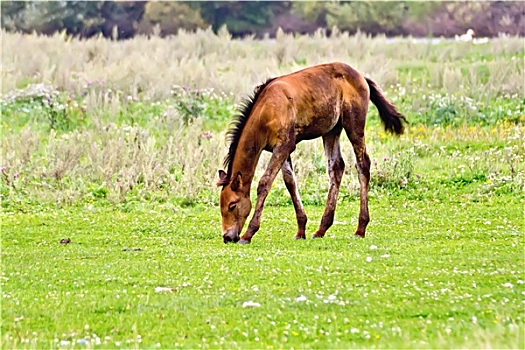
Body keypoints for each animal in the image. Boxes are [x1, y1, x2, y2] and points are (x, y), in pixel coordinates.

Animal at [217, 62, 406, 243]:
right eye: (221, 205)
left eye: (232, 205)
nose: (228, 237)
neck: (267, 108)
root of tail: (361, 76)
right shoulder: (282, 149)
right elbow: (290, 182)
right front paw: (301, 230)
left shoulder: (284, 146)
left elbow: (264, 183)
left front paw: (248, 234)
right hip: (331, 131)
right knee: (336, 167)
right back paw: (321, 229)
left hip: (354, 125)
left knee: (363, 165)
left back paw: (360, 229)